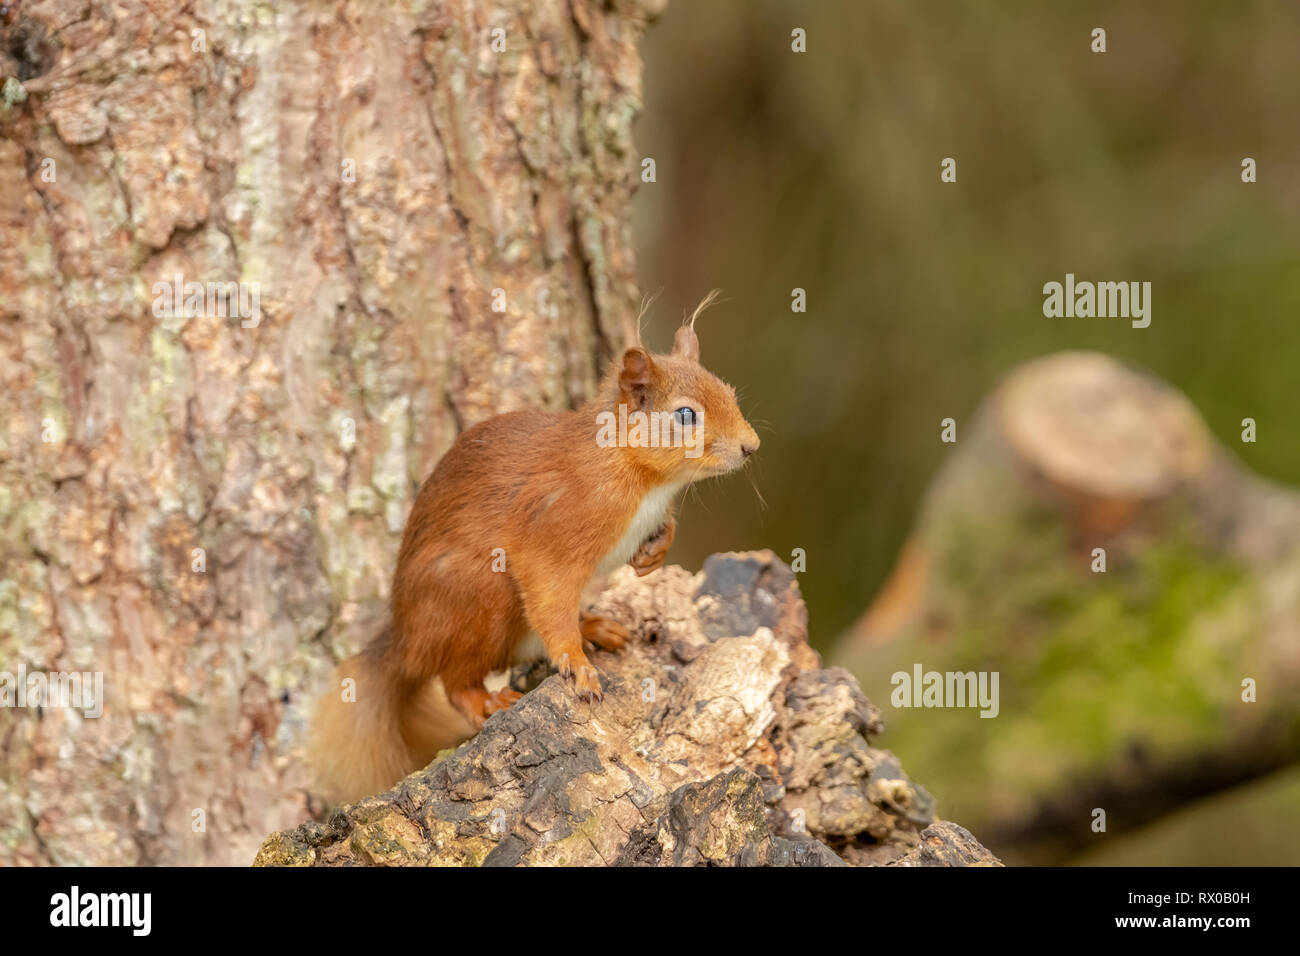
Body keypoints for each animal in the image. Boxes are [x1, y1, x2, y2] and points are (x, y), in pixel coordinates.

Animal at [310, 312, 759, 801]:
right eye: (685, 415)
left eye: (730, 392)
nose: (751, 446)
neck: (639, 475)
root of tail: (405, 643)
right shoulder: (550, 532)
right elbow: (550, 598)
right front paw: (578, 667)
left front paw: (652, 554)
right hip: (477, 597)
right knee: (455, 679)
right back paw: (486, 701)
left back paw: (595, 626)